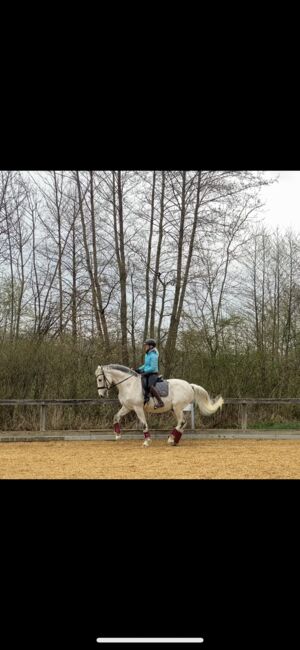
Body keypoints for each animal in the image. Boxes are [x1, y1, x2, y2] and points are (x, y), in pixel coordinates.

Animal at [95, 362, 224, 442]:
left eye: (100, 379)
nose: (101, 395)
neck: (128, 384)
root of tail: (189, 385)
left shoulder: (138, 408)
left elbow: (144, 423)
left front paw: (147, 440)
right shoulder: (127, 407)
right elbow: (116, 417)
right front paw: (117, 435)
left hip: (177, 407)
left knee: (182, 422)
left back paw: (171, 439)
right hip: (174, 409)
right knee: (183, 422)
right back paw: (174, 439)